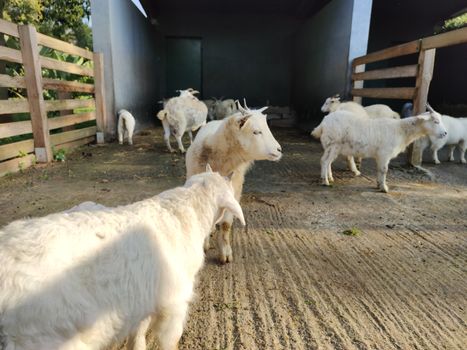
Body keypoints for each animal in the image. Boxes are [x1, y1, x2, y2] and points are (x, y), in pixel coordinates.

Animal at [186, 100, 282, 262]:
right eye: (256, 132)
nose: (279, 150)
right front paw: (204, 244)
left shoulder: (234, 190)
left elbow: (226, 224)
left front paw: (225, 253)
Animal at [314, 108, 450, 193]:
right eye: (435, 121)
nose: (445, 133)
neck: (400, 130)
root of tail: (323, 122)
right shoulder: (385, 154)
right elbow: (384, 170)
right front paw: (384, 188)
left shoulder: (381, 156)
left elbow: (380, 170)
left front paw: (379, 185)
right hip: (333, 144)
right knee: (324, 161)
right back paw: (325, 181)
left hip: (332, 146)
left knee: (328, 162)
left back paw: (330, 177)